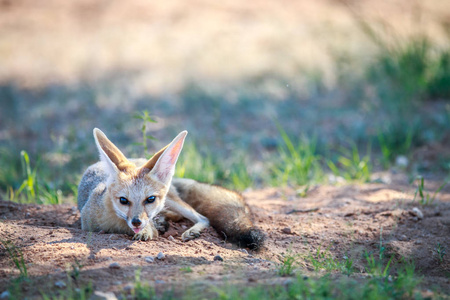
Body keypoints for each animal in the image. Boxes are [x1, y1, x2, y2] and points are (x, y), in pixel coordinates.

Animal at [78, 127, 266, 250]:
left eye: (150, 199)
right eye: (123, 200)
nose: (136, 222)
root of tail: (137, 159)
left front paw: (147, 230)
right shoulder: (87, 223)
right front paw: (149, 228)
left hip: (173, 201)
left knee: (203, 218)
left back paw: (189, 230)